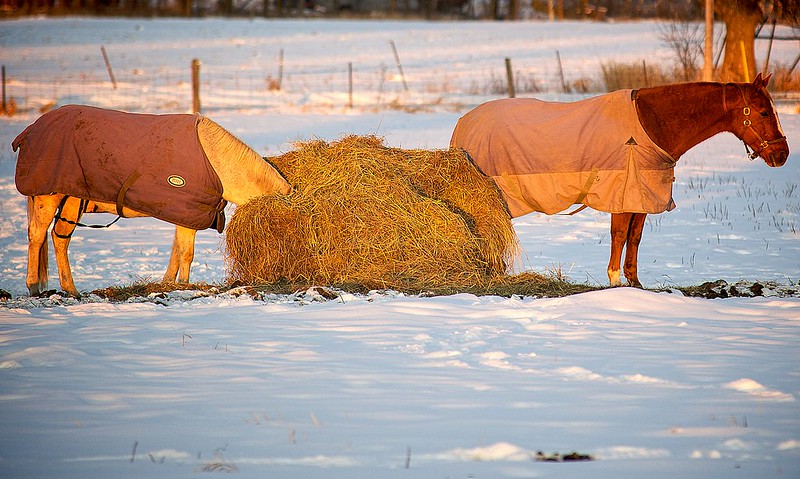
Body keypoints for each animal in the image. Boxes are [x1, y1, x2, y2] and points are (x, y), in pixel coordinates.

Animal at [12, 107, 290, 298]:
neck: (216, 162)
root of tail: (31, 130)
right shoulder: (187, 214)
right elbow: (186, 254)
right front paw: (184, 287)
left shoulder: (183, 213)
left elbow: (176, 253)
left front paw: (168, 283)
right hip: (49, 197)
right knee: (37, 236)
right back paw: (34, 287)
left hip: (72, 199)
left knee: (59, 238)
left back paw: (71, 290)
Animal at [450, 73, 788, 286]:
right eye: (762, 112)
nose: (782, 154)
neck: (651, 125)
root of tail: (464, 121)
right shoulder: (622, 194)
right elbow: (619, 236)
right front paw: (613, 281)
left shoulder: (642, 195)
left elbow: (634, 238)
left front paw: (634, 283)